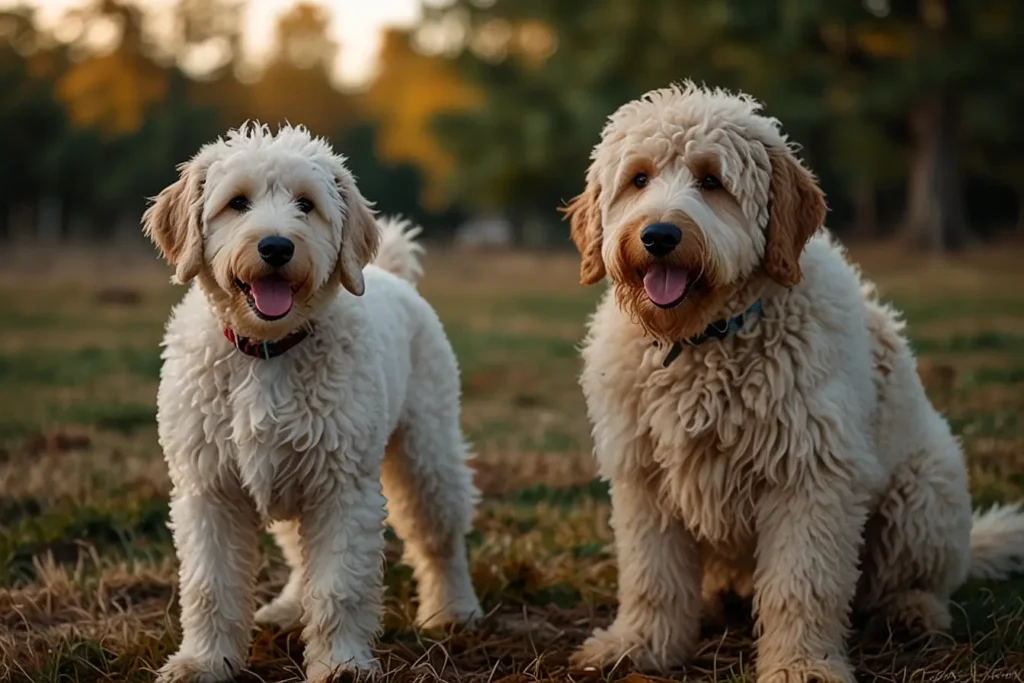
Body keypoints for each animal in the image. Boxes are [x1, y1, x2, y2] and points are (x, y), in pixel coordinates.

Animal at [143, 124, 483, 683]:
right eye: (237, 203)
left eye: (306, 204)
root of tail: (391, 274)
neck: (267, 352)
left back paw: (453, 610)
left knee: (440, 539)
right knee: (300, 556)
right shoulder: (208, 488)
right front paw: (203, 662)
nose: (277, 246)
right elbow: (210, 587)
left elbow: (338, 587)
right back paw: (285, 609)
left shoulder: (341, 487)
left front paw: (341, 664)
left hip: (427, 454)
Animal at [565, 83, 1024, 683]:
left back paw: (912, 613)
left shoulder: (810, 474)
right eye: (638, 179)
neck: (706, 340)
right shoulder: (644, 476)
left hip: (925, 492)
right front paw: (640, 646)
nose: (659, 234)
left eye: (712, 181)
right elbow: (652, 579)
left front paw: (802, 665)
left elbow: (800, 586)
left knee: (917, 582)